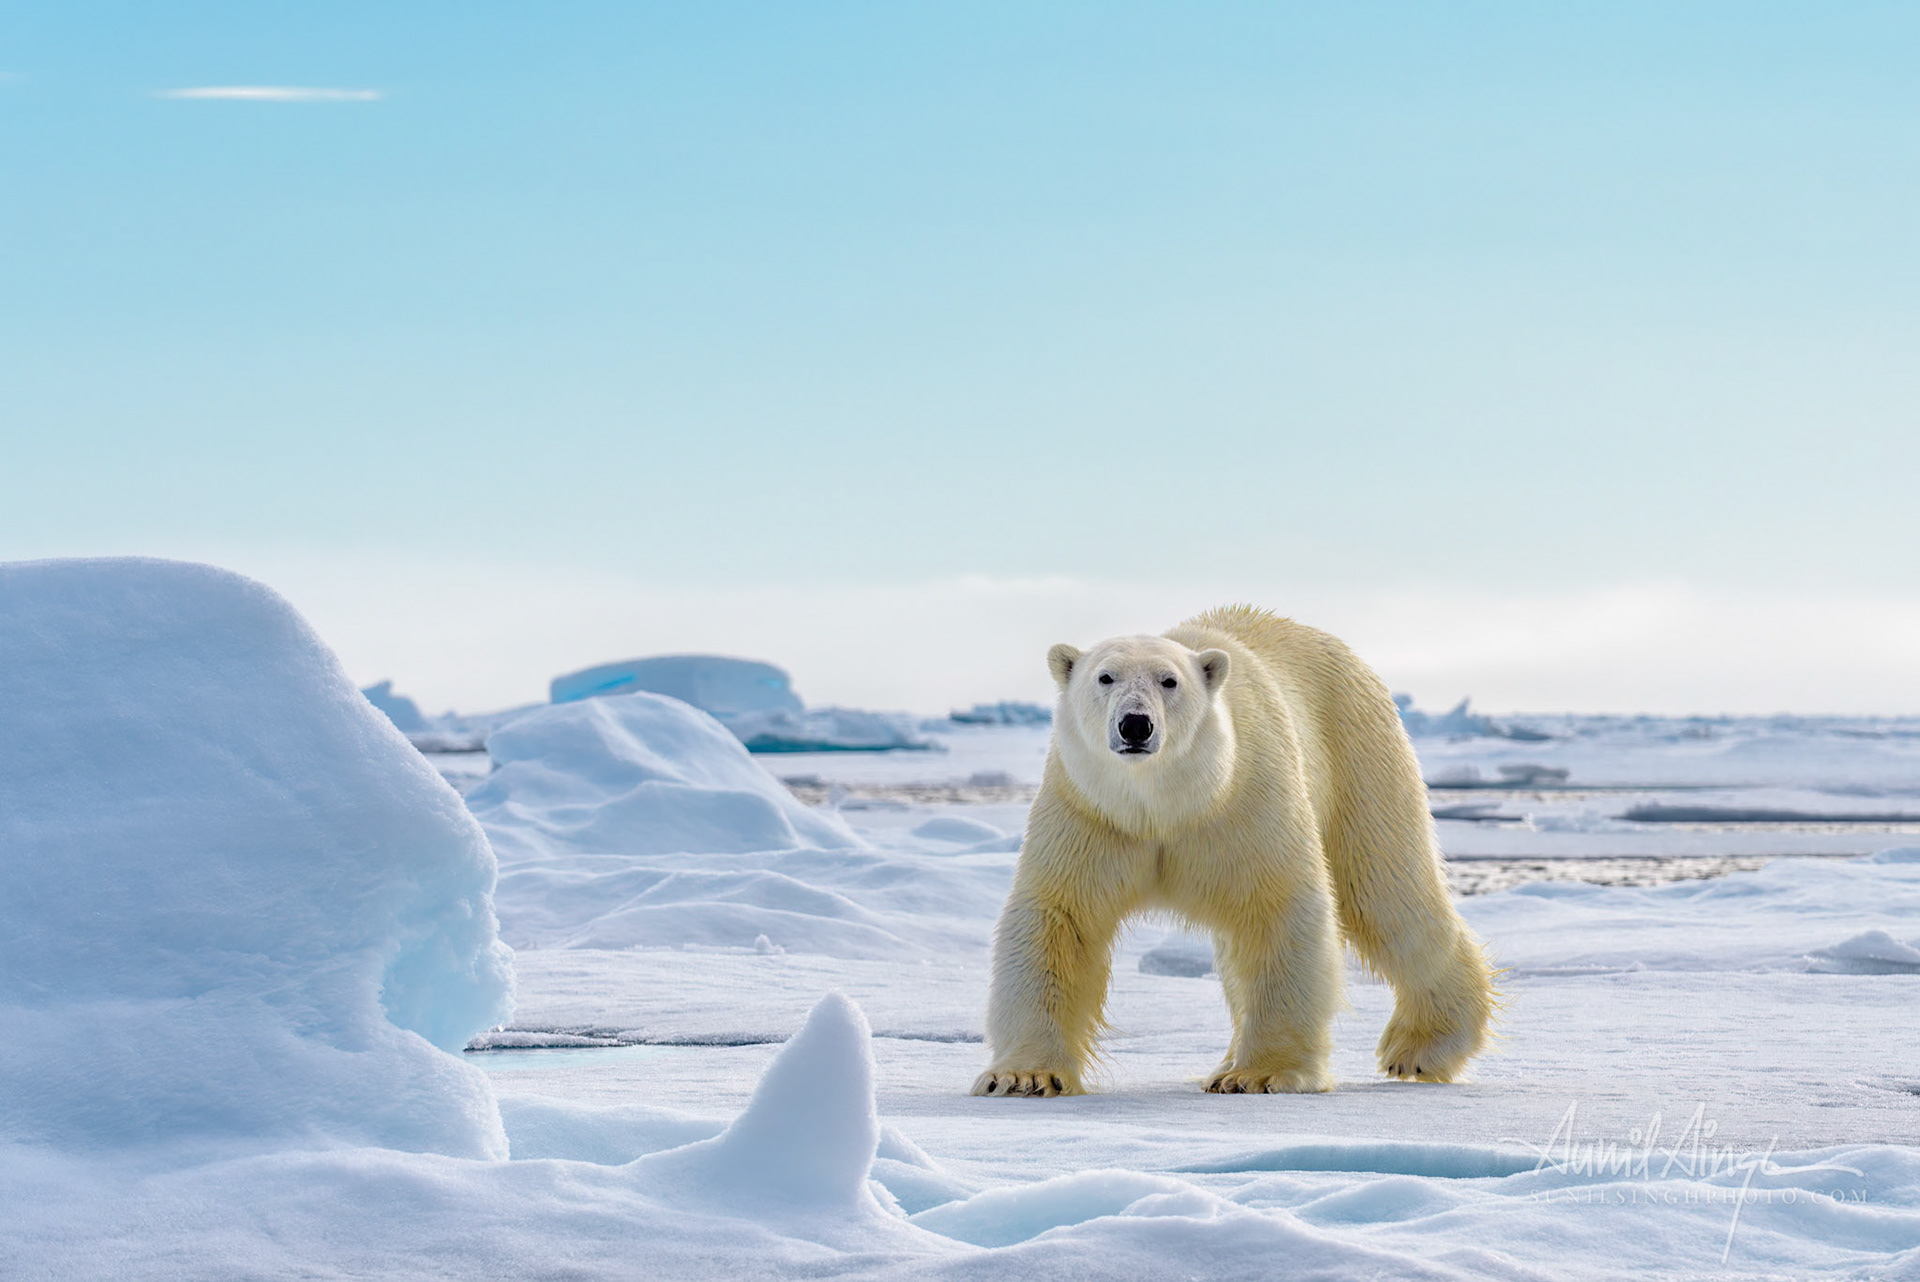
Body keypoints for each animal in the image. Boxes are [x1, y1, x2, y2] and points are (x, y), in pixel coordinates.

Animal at [972, 604, 1496, 1097]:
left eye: (1169, 681)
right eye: (1105, 676)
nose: (1136, 725)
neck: (1165, 806)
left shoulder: (1245, 801)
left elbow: (1277, 908)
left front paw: (1259, 1075)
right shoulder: (1090, 814)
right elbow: (1059, 917)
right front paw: (1021, 1076)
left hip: (1358, 754)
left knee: (1388, 895)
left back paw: (1423, 1048)